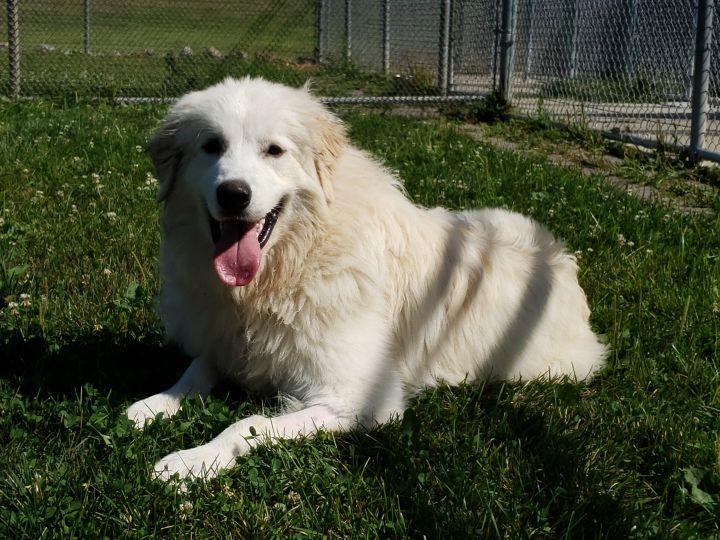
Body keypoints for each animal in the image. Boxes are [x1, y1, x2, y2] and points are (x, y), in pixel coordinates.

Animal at [126, 77, 604, 480]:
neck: (289, 268)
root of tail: (560, 259)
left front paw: (191, 461)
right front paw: (152, 406)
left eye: (274, 151)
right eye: (212, 146)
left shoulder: (355, 399)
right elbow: (195, 371)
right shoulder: (226, 340)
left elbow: (247, 424)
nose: (233, 194)